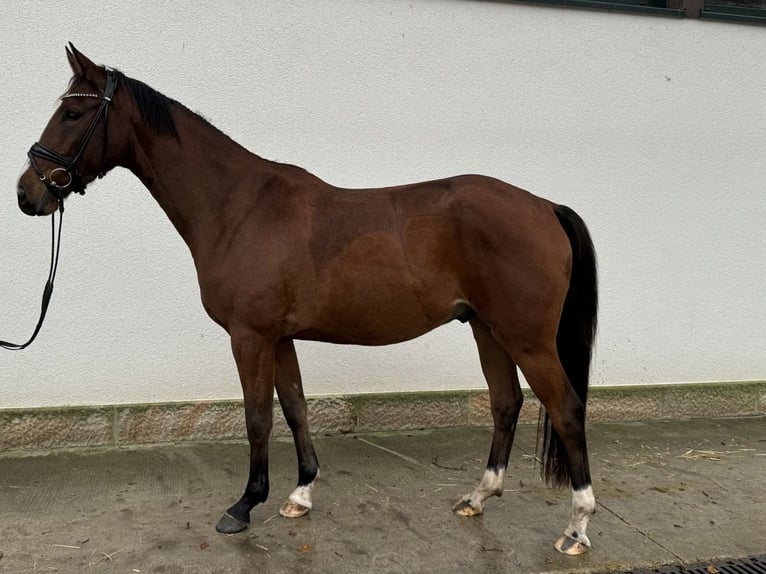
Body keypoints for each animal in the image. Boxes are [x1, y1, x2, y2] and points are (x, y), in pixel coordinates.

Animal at [15, 46, 596, 560]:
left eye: (72, 112)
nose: (27, 193)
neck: (239, 207)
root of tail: (545, 207)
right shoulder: (280, 337)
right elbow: (295, 408)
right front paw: (299, 495)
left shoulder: (250, 336)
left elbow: (257, 417)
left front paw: (244, 506)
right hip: (486, 328)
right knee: (506, 403)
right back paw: (478, 497)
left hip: (526, 338)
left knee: (566, 409)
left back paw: (576, 527)